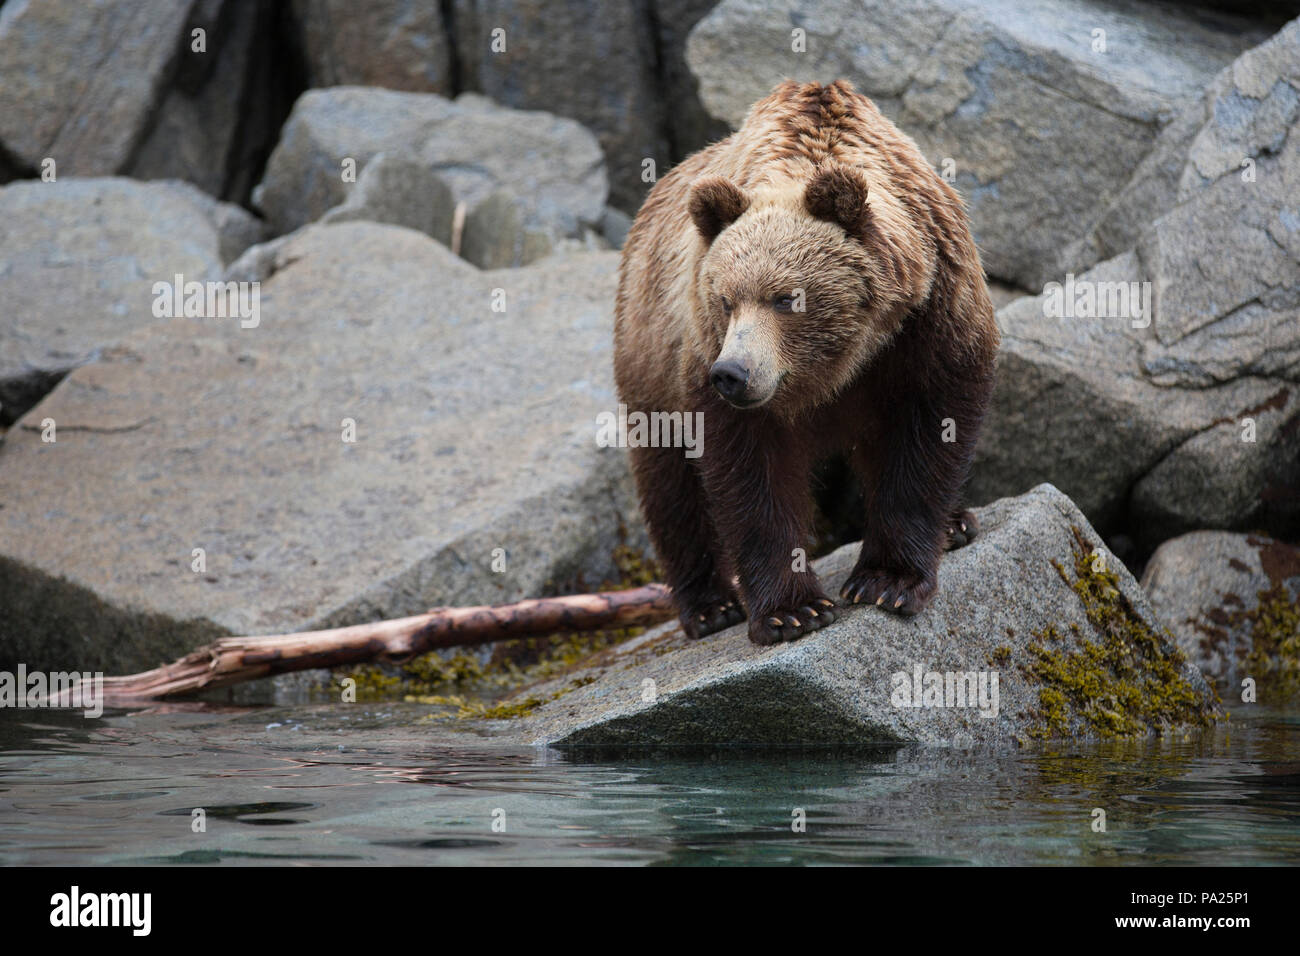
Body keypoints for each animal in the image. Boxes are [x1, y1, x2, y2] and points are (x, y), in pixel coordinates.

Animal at [614, 79, 999, 646]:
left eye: (785, 298)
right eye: (725, 300)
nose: (732, 374)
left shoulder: (931, 318)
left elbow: (930, 432)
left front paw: (888, 580)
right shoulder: (707, 359)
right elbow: (750, 478)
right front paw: (793, 610)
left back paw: (956, 524)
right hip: (647, 354)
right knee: (667, 480)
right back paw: (708, 606)